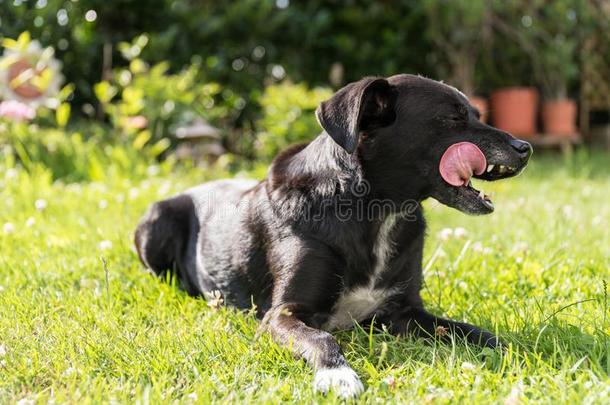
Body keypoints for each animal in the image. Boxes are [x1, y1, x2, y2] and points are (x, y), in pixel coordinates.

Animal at [133, 74, 528, 396]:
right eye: (453, 118)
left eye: (476, 113)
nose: (525, 148)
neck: (373, 209)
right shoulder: (283, 314)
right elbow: (321, 338)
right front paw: (338, 375)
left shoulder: (405, 312)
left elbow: (468, 330)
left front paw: (513, 348)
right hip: (156, 220)